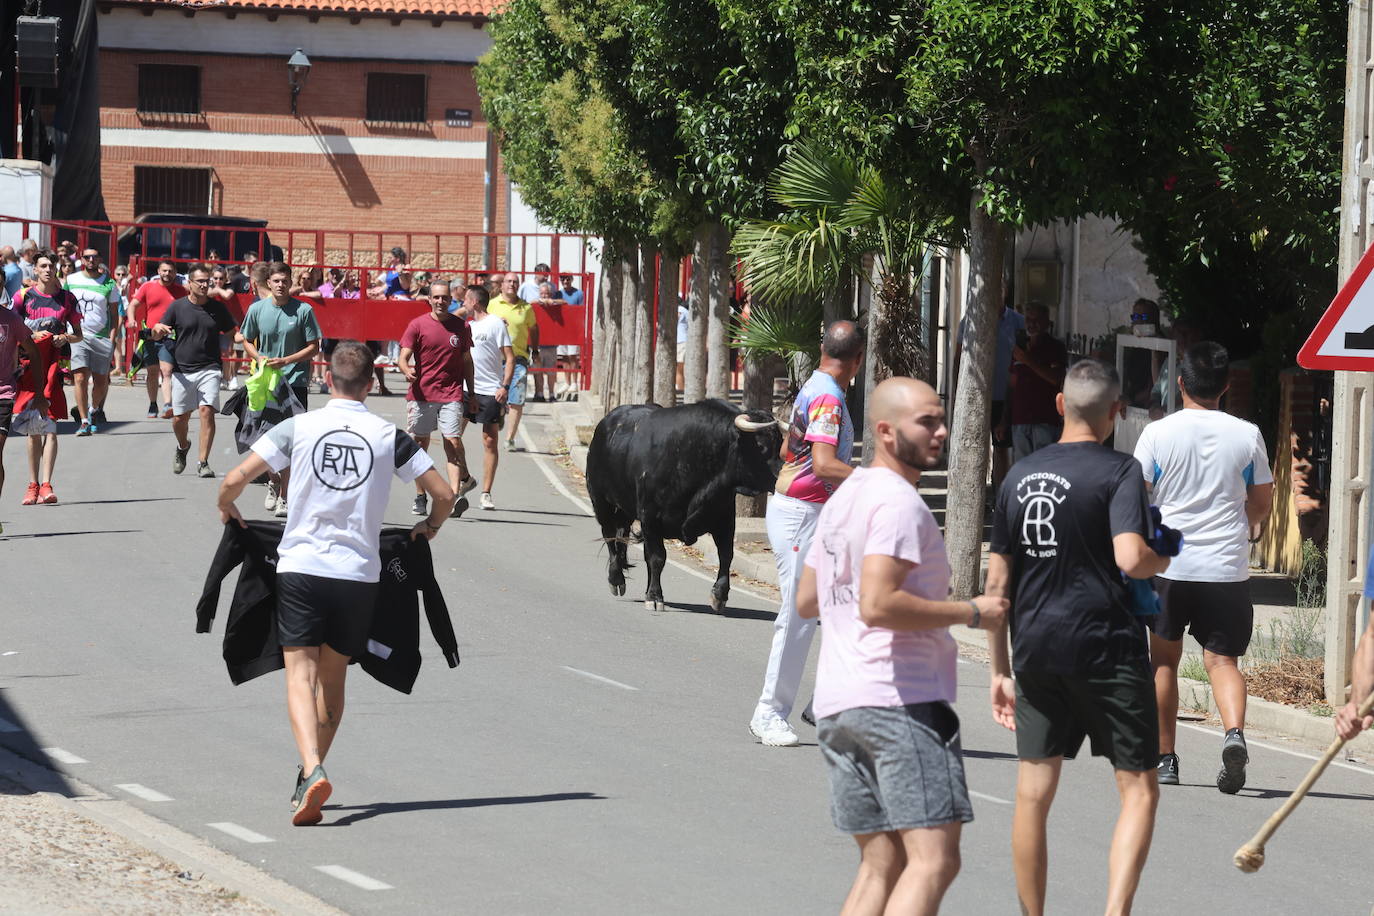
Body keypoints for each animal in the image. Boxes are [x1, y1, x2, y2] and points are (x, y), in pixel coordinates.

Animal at [590, 398, 785, 609]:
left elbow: (726, 555)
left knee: (623, 538)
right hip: (603, 504)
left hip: (625, 511)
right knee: (611, 538)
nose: (782, 478)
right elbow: (657, 557)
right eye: (761, 445)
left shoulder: (724, 519)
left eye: (781, 443)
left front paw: (720, 595)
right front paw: (655, 597)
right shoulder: (650, 517)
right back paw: (617, 580)